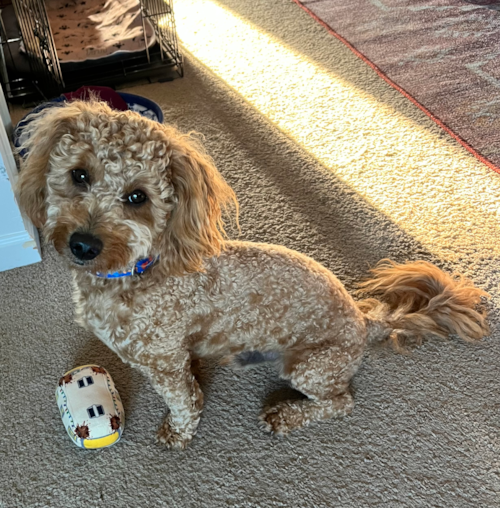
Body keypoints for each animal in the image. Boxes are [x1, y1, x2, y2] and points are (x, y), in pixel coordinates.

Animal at [17, 100, 490, 448]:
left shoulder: (166, 362)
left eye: (138, 197)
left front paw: (178, 432)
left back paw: (287, 414)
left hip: (312, 366)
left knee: (341, 402)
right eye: (79, 174)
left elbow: (184, 401)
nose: (83, 243)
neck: (135, 271)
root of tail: (363, 320)